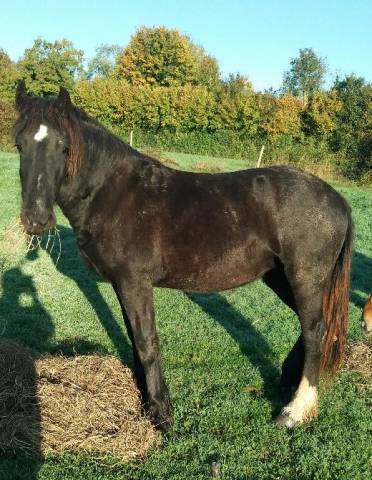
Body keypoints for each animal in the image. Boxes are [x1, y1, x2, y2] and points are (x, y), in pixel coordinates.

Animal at [13, 84, 354, 434]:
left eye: (63, 146)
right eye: (19, 144)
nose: (35, 220)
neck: (112, 193)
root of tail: (338, 200)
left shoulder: (135, 283)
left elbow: (147, 343)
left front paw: (161, 413)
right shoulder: (122, 285)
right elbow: (134, 340)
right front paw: (145, 401)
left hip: (304, 276)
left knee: (314, 330)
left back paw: (295, 410)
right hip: (281, 277)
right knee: (313, 325)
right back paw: (287, 381)